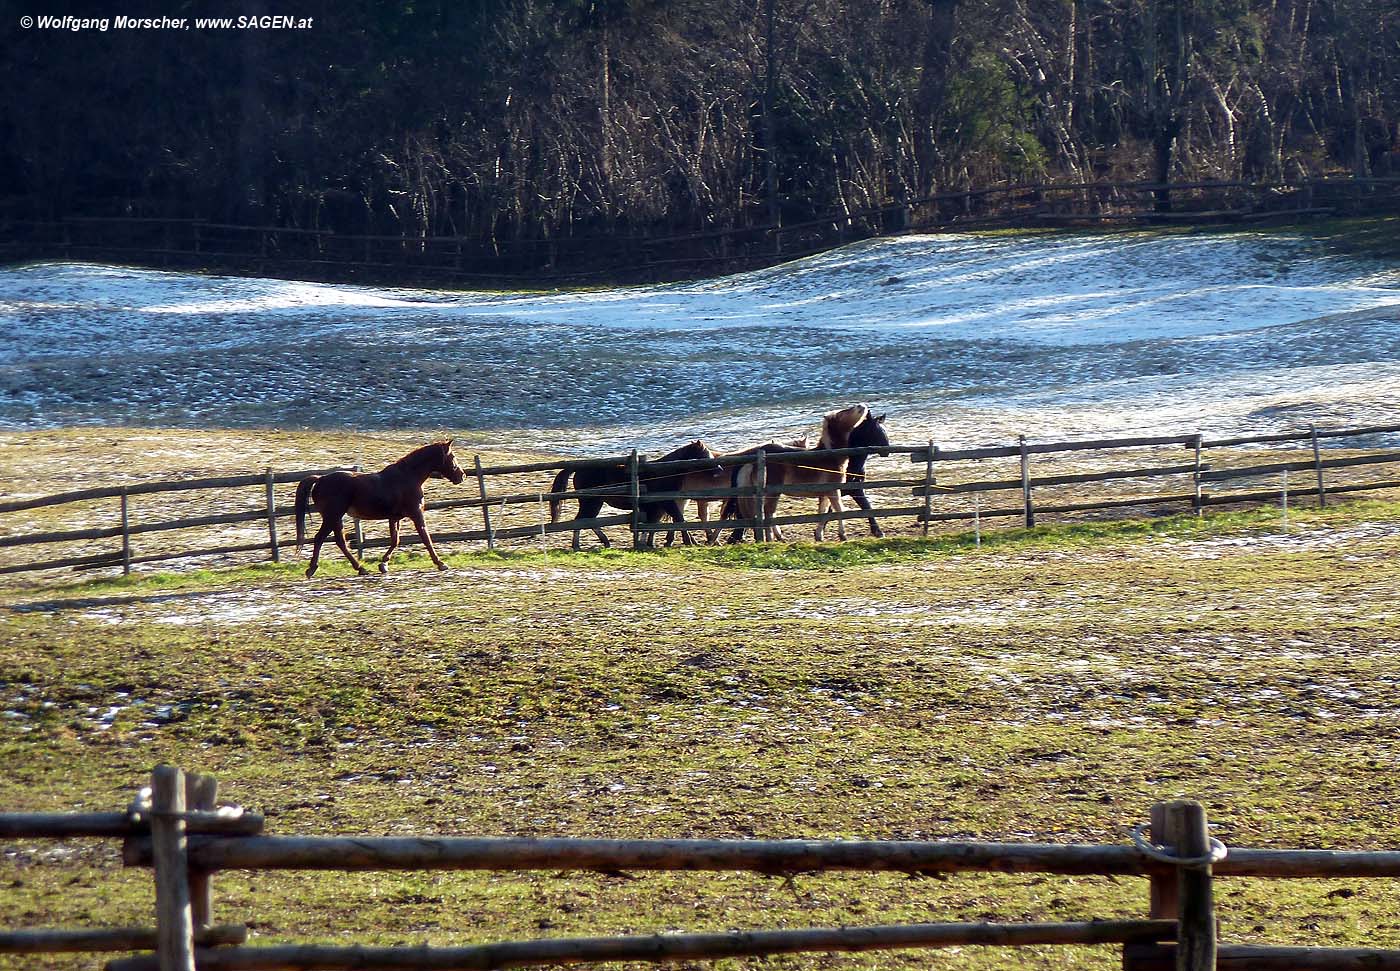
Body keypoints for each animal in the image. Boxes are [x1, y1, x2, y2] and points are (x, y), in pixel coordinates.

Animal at [294, 442, 464, 579]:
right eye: (452, 456)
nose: (462, 476)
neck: (408, 477)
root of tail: (320, 479)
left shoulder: (394, 518)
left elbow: (395, 540)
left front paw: (383, 565)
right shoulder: (416, 514)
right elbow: (426, 538)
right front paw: (441, 563)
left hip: (334, 518)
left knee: (337, 541)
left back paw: (357, 568)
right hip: (332, 516)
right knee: (322, 538)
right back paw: (317, 569)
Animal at [548, 442, 722, 551]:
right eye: (704, 454)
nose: (720, 469)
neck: (663, 473)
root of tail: (579, 469)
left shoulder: (658, 507)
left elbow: (655, 524)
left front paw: (648, 543)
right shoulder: (667, 503)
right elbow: (679, 519)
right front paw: (689, 541)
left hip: (595, 502)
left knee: (588, 520)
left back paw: (604, 542)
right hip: (590, 501)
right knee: (582, 520)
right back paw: (580, 544)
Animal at [728, 400, 868, 540]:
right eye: (842, 413)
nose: (862, 405)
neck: (830, 456)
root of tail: (755, 460)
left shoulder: (825, 493)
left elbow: (823, 513)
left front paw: (819, 536)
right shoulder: (833, 490)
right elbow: (839, 510)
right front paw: (842, 535)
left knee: (767, 513)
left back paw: (778, 537)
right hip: (772, 492)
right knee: (768, 513)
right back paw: (771, 538)